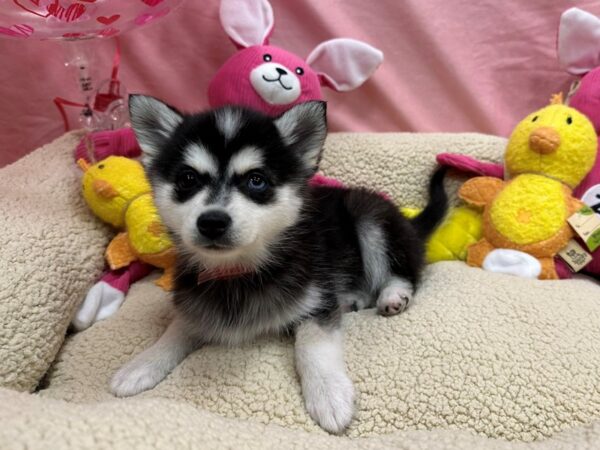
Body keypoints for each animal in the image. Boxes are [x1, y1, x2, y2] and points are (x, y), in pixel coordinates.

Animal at [110, 96, 448, 434]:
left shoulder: (317, 301)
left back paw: (393, 295)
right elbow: (176, 329)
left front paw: (328, 392)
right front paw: (141, 364)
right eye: (187, 179)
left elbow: (312, 346)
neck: (238, 271)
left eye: (256, 180)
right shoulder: (196, 303)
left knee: (404, 271)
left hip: (369, 217)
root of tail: (407, 222)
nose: (212, 222)